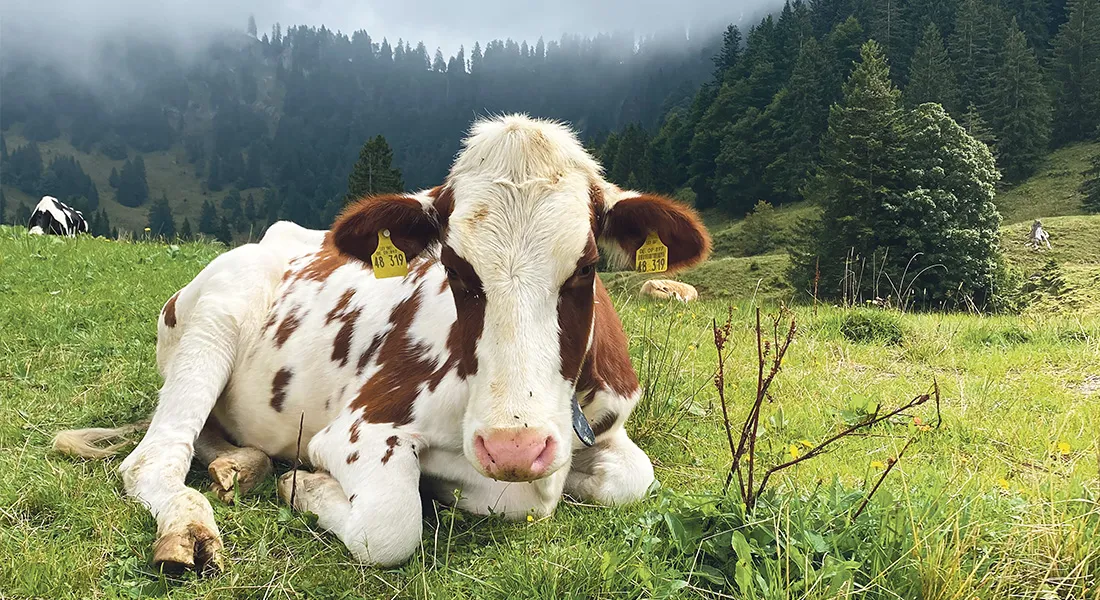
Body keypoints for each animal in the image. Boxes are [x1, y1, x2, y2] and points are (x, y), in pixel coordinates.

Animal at [52, 114, 711, 572]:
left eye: (587, 267)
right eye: (456, 267)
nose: (514, 447)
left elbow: (634, 478)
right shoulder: (358, 428)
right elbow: (392, 527)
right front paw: (308, 485)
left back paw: (242, 463)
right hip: (213, 321)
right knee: (155, 457)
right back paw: (191, 527)